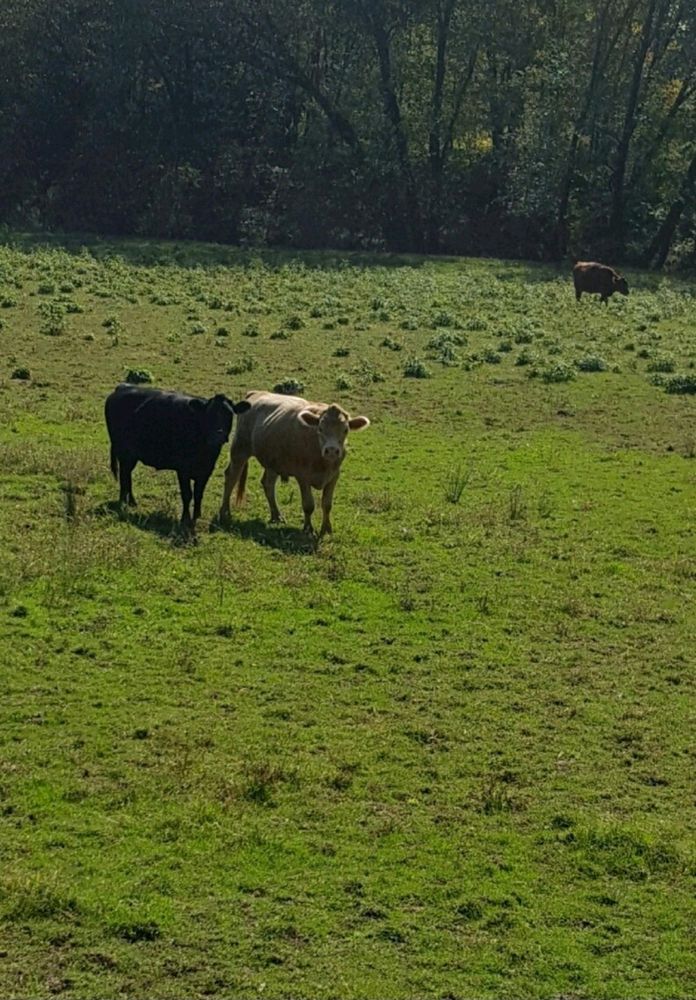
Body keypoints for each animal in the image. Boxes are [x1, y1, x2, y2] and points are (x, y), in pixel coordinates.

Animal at [105, 383, 251, 528]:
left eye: (229, 414)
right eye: (209, 414)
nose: (218, 436)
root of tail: (123, 387)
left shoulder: (206, 471)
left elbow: (199, 494)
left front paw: (197, 516)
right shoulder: (183, 470)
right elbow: (187, 494)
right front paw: (185, 519)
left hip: (130, 456)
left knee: (127, 474)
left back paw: (131, 502)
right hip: (124, 453)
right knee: (124, 475)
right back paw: (124, 501)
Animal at [219, 391, 370, 537]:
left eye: (345, 430)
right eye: (320, 428)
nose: (332, 450)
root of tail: (256, 393)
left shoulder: (334, 476)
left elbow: (327, 504)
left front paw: (327, 529)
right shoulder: (303, 476)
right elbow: (308, 505)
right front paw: (308, 529)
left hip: (273, 462)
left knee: (268, 484)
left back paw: (277, 516)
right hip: (239, 449)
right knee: (231, 477)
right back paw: (225, 512)